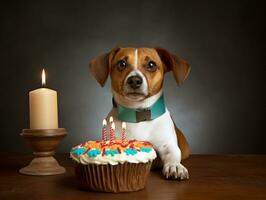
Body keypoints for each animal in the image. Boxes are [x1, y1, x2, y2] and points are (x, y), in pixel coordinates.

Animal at [90, 47, 191, 180]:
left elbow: (173, 154)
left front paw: (175, 166)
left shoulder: (168, 144)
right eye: (122, 64)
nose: (134, 80)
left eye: (151, 65)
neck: (138, 116)